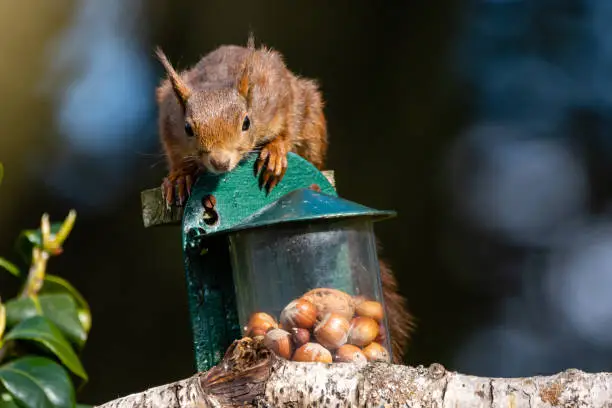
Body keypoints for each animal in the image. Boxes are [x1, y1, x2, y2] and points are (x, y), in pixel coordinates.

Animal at [155, 36, 414, 362]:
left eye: (246, 122)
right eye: (188, 128)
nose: (220, 162)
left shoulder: (279, 94)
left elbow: (287, 125)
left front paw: (276, 151)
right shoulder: (168, 120)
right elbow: (176, 155)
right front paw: (180, 175)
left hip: (313, 116)